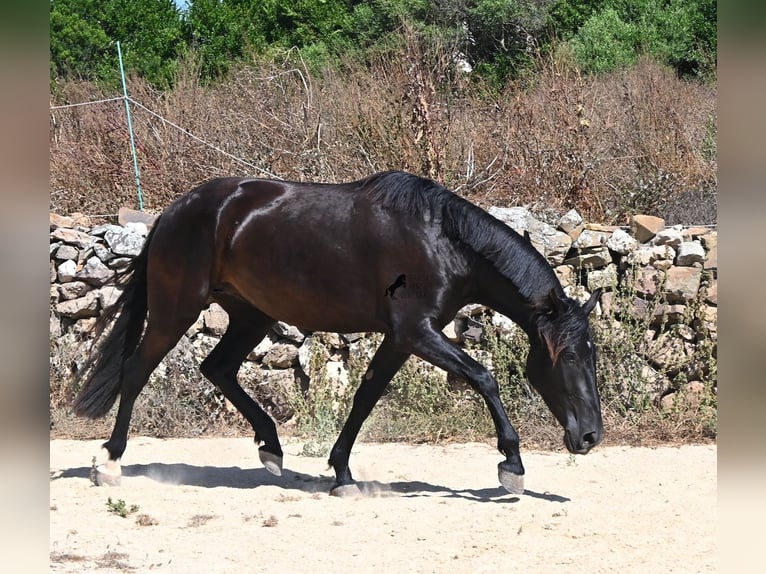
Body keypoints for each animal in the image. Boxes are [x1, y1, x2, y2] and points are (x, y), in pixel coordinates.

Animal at [73, 170, 603, 496]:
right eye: (569, 357)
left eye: (593, 353)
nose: (590, 436)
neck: (441, 241)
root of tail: (173, 211)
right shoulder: (417, 333)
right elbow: (483, 377)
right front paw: (511, 464)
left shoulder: (401, 339)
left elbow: (365, 396)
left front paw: (342, 472)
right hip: (176, 310)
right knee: (136, 370)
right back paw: (110, 462)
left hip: (250, 316)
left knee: (217, 368)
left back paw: (271, 448)